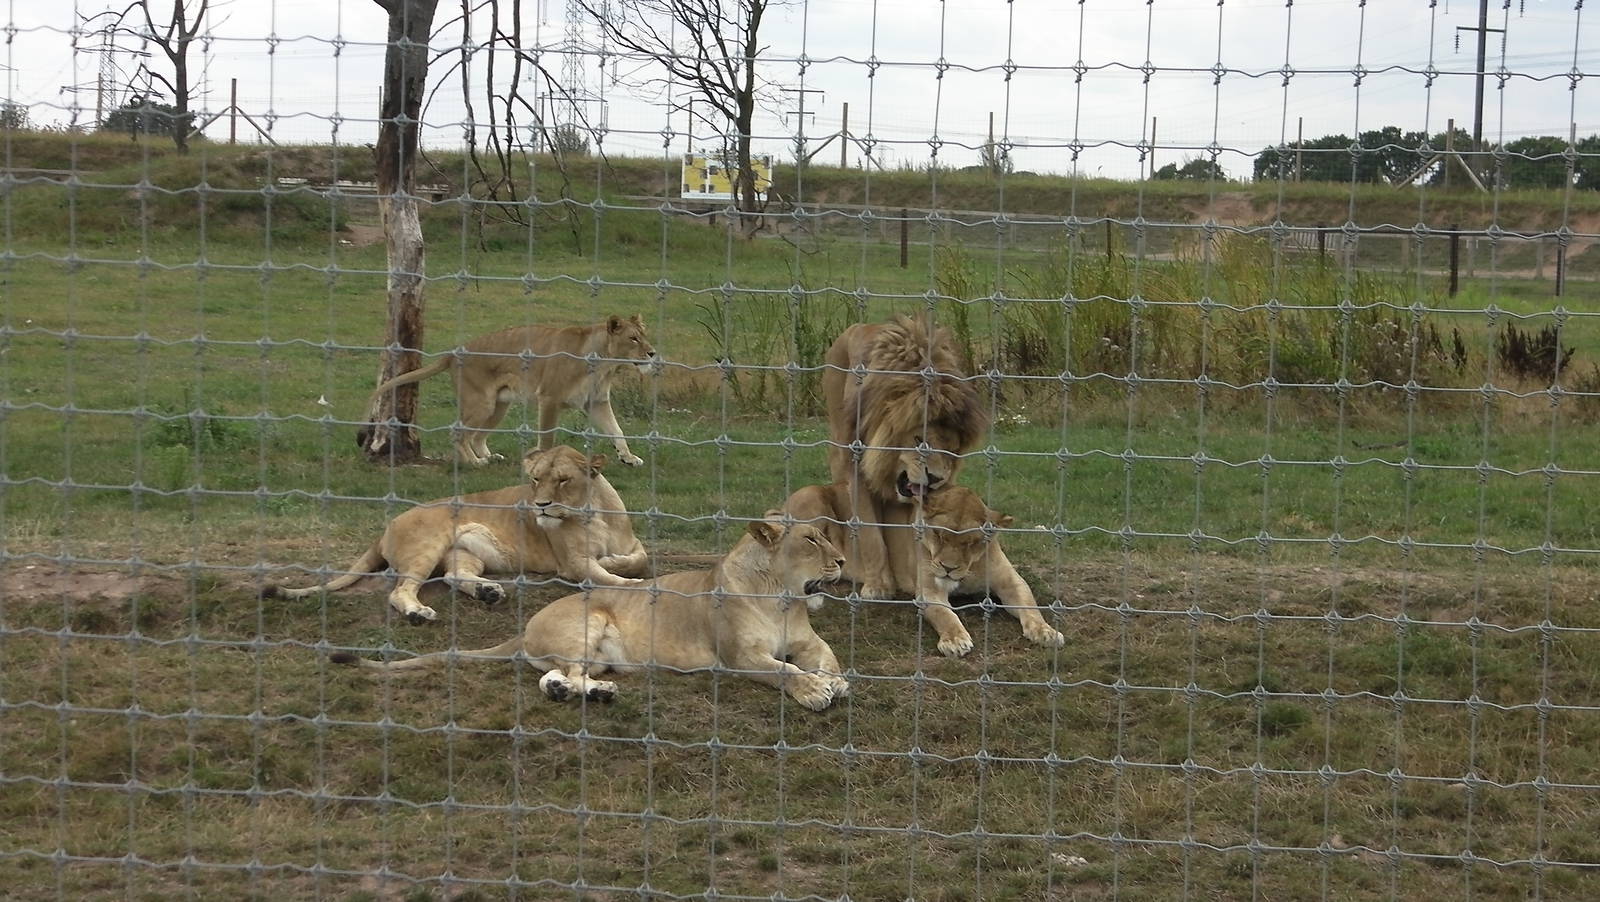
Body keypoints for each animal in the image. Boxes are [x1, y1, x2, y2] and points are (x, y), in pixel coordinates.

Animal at [264, 445, 648, 624]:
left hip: (466, 551)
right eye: (536, 479)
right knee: (401, 590)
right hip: (427, 546)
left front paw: (616, 561)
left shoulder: (633, 543)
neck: (593, 512)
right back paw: (418, 613)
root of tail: (385, 528)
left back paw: (488, 592)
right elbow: (610, 576)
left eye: (564, 480)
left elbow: (638, 559)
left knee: (453, 575)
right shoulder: (571, 563)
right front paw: (630, 584)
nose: (540, 506)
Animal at [330, 515, 852, 711]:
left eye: (825, 537)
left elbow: (829, 658)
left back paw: (582, 691)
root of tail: (526, 626)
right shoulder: (738, 657)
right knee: (564, 672)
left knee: (554, 676)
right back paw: (593, 693)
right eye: (812, 540)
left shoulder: (811, 642)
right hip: (589, 621)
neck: (781, 597)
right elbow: (783, 670)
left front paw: (836, 681)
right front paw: (813, 690)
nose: (844, 562)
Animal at [357, 314, 661, 467]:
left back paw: (487, 456)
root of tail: (453, 353)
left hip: (498, 406)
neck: (605, 363)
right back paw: (475, 463)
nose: (652, 353)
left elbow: (617, 431)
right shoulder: (549, 398)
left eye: (644, 336)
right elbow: (547, 438)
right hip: (481, 402)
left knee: (477, 436)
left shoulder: (596, 402)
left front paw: (628, 457)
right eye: (633, 338)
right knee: (459, 431)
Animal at [785, 482, 1064, 657]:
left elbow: (1030, 605)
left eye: (970, 542)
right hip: (812, 500)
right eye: (939, 535)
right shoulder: (929, 590)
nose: (949, 568)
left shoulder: (1010, 582)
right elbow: (945, 615)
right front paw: (955, 641)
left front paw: (1046, 631)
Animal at [820, 315, 989, 598]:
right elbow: (871, 534)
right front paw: (878, 586)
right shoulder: (857, 468)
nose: (936, 479)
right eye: (920, 440)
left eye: (952, 450)